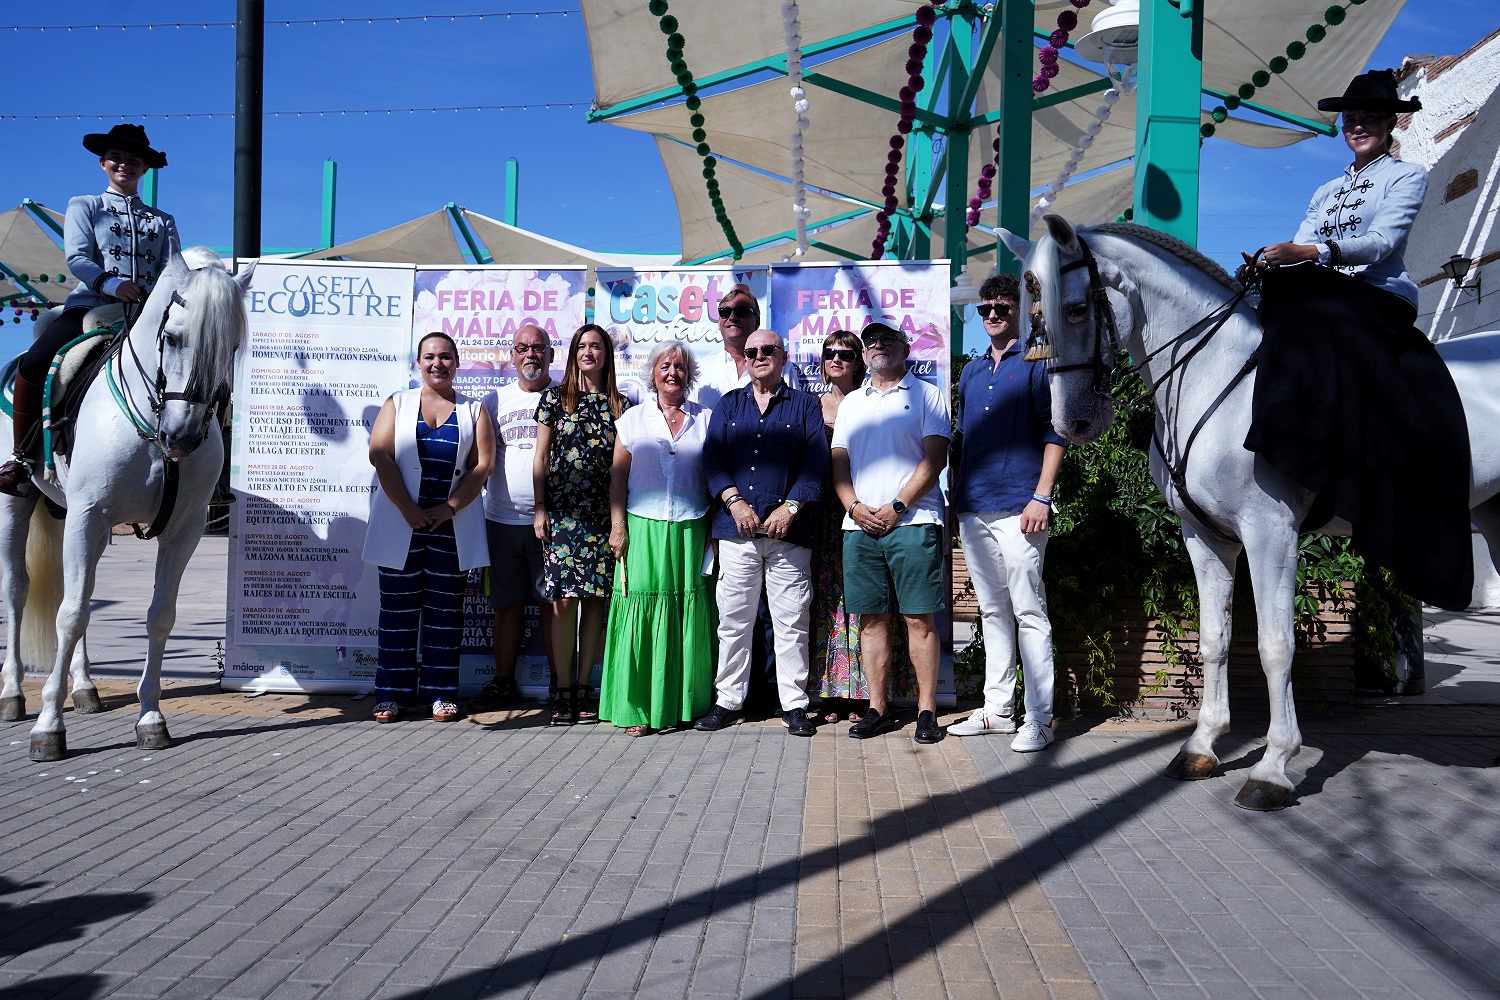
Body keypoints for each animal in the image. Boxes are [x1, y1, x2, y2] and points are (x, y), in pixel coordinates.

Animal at [0, 248, 252, 758]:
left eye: (231, 346)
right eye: (172, 337)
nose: (183, 438)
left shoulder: (182, 529)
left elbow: (158, 617)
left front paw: (150, 717)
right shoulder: (88, 516)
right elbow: (71, 615)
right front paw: (49, 728)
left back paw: (85, 688)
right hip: (19, 506)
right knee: (18, 590)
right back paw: (15, 694)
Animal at [1002, 215, 1500, 809]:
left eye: (1076, 309)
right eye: (1033, 317)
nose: (1072, 424)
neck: (1211, 377)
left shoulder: (1271, 534)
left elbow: (1274, 646)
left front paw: (1273, 767)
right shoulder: (1205, 537)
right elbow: (1214, 640)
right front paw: (1202, 746)